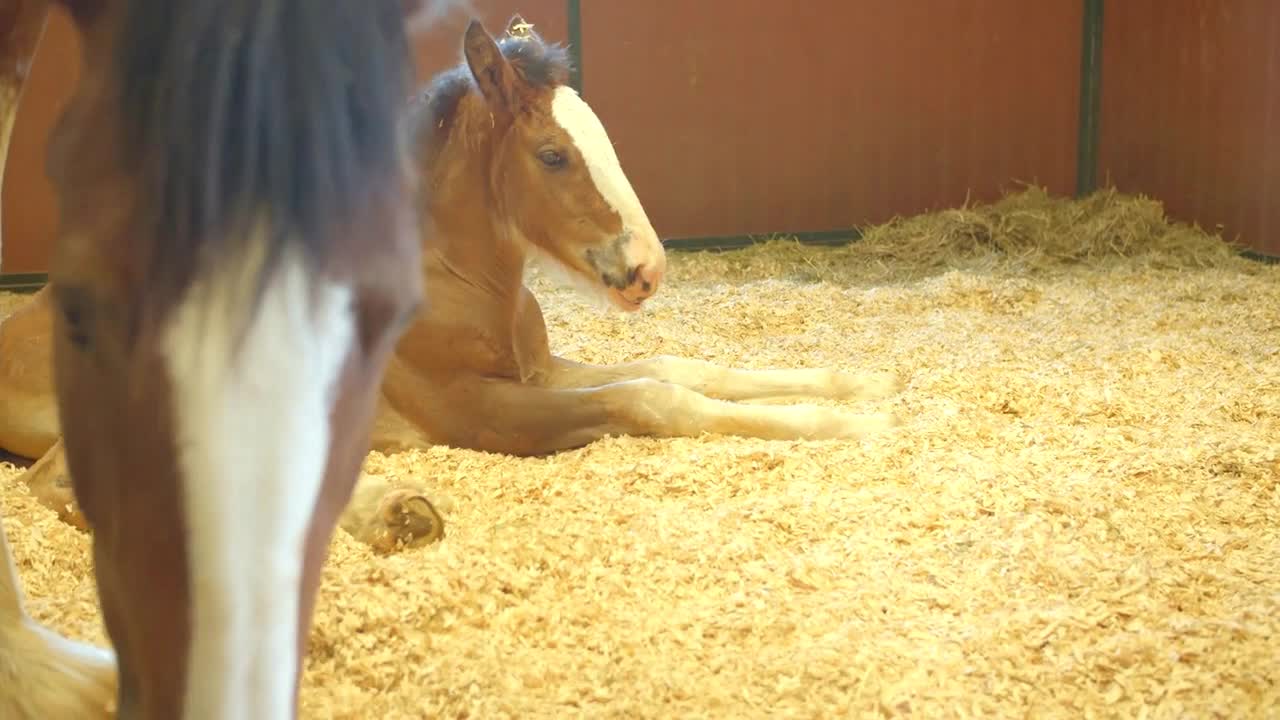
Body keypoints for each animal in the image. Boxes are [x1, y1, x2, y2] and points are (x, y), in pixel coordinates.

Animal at [368, 19, 901, 456]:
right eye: (552, 155)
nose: (650, 268)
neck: (457, 284)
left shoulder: (544, 371)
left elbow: (680, 368)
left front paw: (865, 384)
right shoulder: (473, 407)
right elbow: (653, 397)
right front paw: (857, 424)